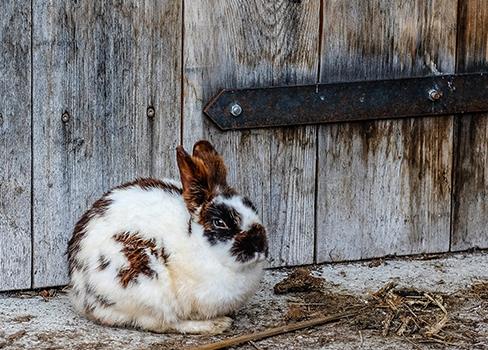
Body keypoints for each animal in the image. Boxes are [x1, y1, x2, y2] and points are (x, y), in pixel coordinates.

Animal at [66, 139, 266, 334]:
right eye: (220, 222)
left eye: (253, 208)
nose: (259, 246)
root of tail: (81, 294)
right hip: (146, 285)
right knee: (164, 323)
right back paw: (216, 325)